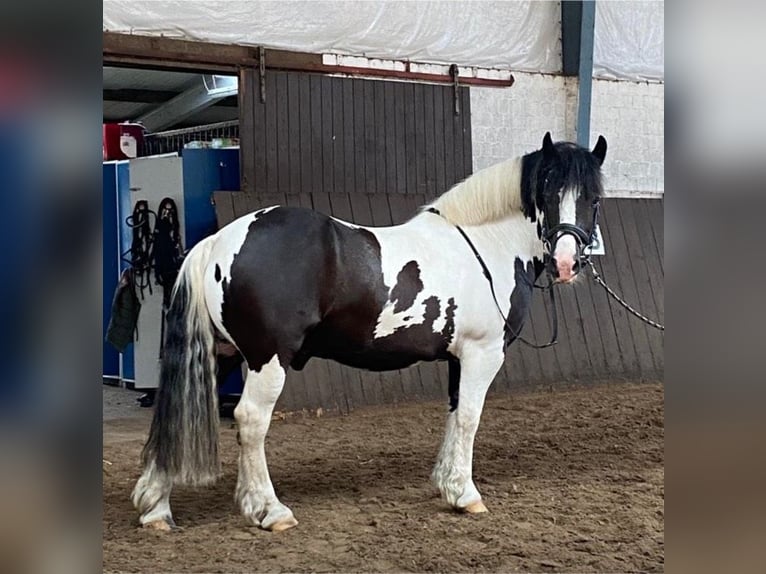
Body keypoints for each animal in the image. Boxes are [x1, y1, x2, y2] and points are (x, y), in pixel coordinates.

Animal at [134, 133, 612, 532]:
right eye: (547, 192)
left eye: (593, 197)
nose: (567, 263)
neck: (484, 244)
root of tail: (217, 242)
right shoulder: (483, 353)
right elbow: (470, 418)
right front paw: (466, 494)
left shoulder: (458, 357)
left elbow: (454, 411)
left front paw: (446, 484)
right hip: (267, 360)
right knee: (250, 420)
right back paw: (270, 510)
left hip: (219, 354)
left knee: (175, 412)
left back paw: (155, 508)